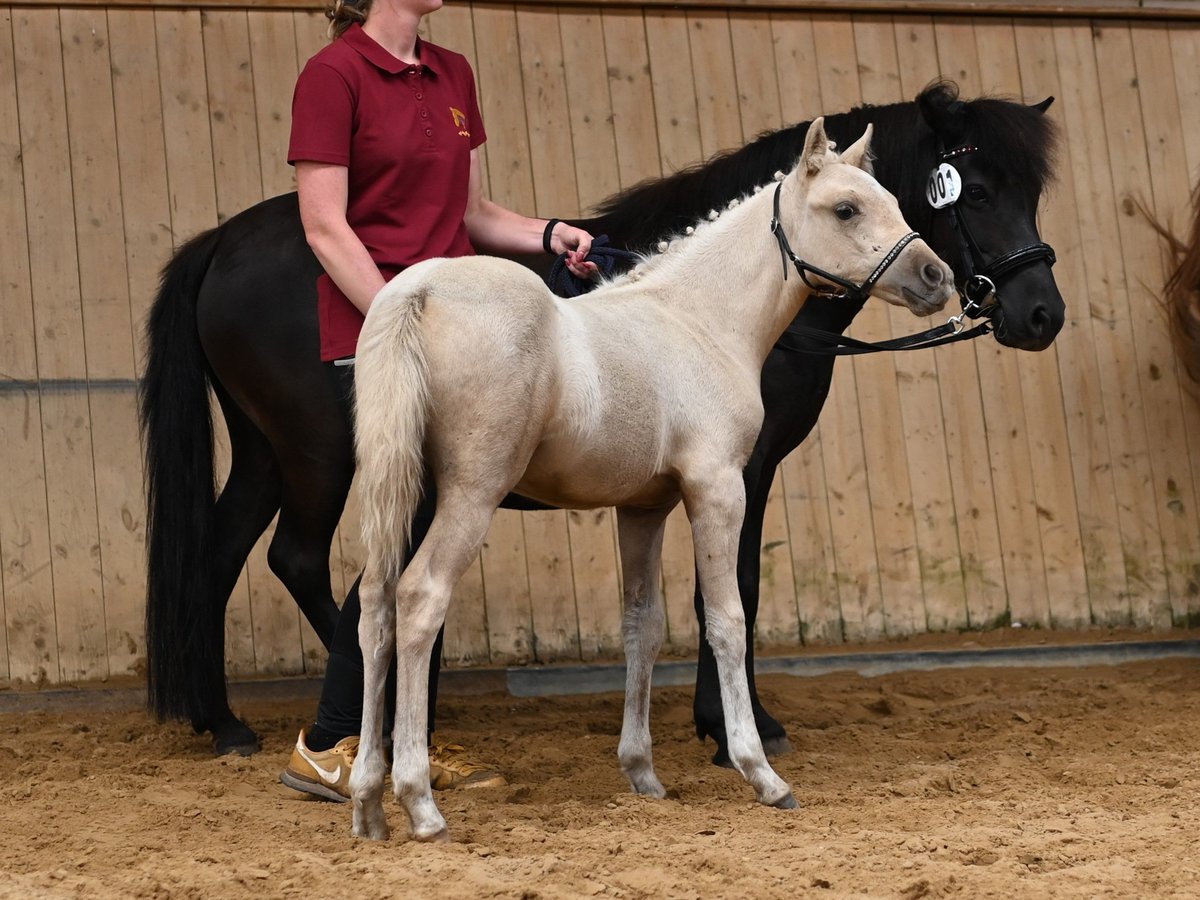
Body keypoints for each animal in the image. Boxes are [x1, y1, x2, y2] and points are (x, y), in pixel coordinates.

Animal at [136, 82, 1065, 763]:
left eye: (1034, 193)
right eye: (976, 190)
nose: (1040, 313)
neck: (693, 306)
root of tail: (222, 241)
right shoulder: (741, 467)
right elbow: (733, 586)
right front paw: (738, 729)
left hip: (265, 451)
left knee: (220, 555)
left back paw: (226, 723)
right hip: (317, 454)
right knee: (296, 558)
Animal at [350, 116, 955, 844]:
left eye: (893, 200)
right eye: (846, 209)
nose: (937, 277)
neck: (695, 321)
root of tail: (420, 290)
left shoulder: (642, 508)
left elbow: (643, 624)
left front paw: (642, 772)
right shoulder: (719, 489)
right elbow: (726, 618)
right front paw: (760, 771)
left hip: (404, 496)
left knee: (375, 607)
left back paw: (366, 802)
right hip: (470, 495)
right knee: (419, 600)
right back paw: (419, 803)